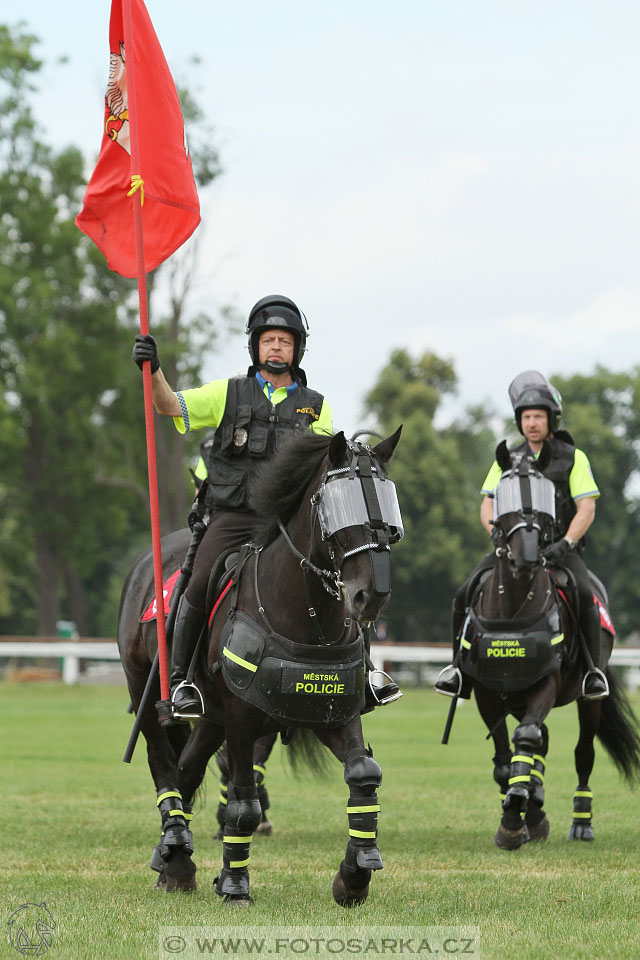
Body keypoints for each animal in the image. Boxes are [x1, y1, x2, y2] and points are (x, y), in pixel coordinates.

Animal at [117, 428, 402, 900]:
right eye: (336, 503)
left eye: (387, 499)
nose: (372, 595)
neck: (306, 616)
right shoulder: (241, 718)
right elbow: (244, 804)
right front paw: (234, 884)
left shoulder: (333, 713)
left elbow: (363, 773)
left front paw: (355, 872)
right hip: (150, 690)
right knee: (165, 766)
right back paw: (176, 846)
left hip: (212, 719)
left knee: (187, 770)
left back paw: (174, 860)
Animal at [452, 440, 640, 848]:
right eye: (503, 491)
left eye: (545, 494)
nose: (526, 555)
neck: (513, 607)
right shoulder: (488, 692)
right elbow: (506, 760)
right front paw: (520, 816)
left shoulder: (545, 684)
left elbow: (526, 740)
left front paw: (517, 816)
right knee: (542, 742)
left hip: (587, 699)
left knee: (581, 752)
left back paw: (581, 822)